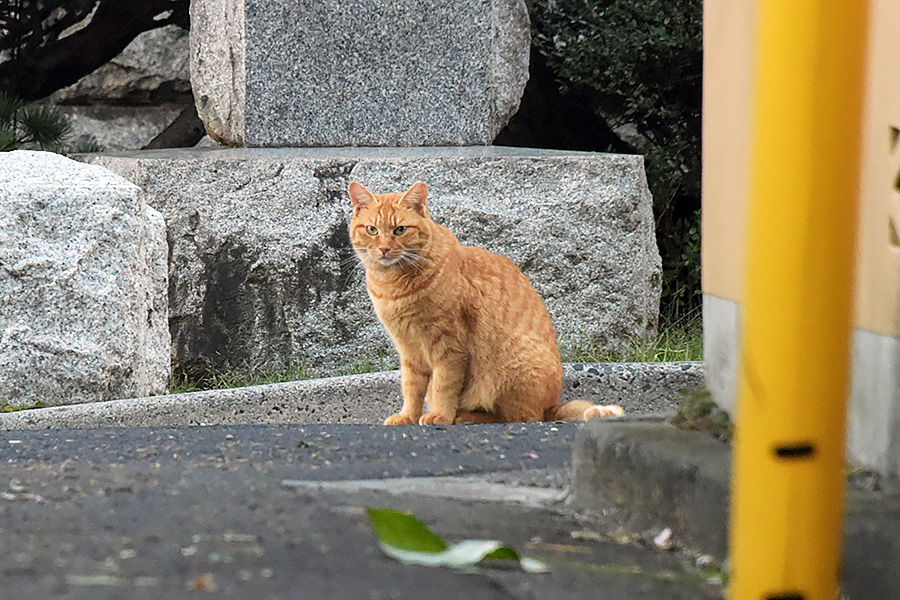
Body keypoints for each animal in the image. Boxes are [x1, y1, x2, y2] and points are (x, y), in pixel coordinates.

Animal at [348, 180, 624, 424]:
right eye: (372, 229)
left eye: (400, 230)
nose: (384, 249)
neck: (393, 286)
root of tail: (552, 405)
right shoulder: (409, 350)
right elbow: (412, 388)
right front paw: (408, 417)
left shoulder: (449, 347)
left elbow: (443, 387)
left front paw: (440, 416)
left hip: (511, 367)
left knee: (519, 417)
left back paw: (463, 417)